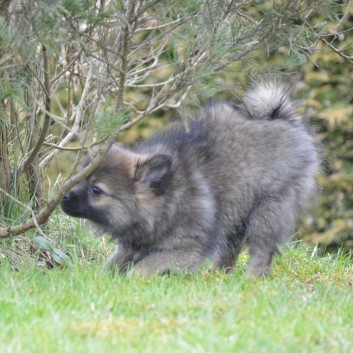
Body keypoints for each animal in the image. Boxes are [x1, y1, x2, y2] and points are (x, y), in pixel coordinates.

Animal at [60, 81, 320, 276]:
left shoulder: (185, 249)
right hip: (237, 211)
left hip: (268, 210)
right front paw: (104, 278)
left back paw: (250, 279)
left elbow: (144, 267)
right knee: (231, 248)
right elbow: (115, 262)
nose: (63, 198)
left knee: (261, 250)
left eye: (96, 190)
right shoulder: (134, 244)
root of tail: (280, 117)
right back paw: (217, 276)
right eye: (80, 179)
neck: (168, 200)